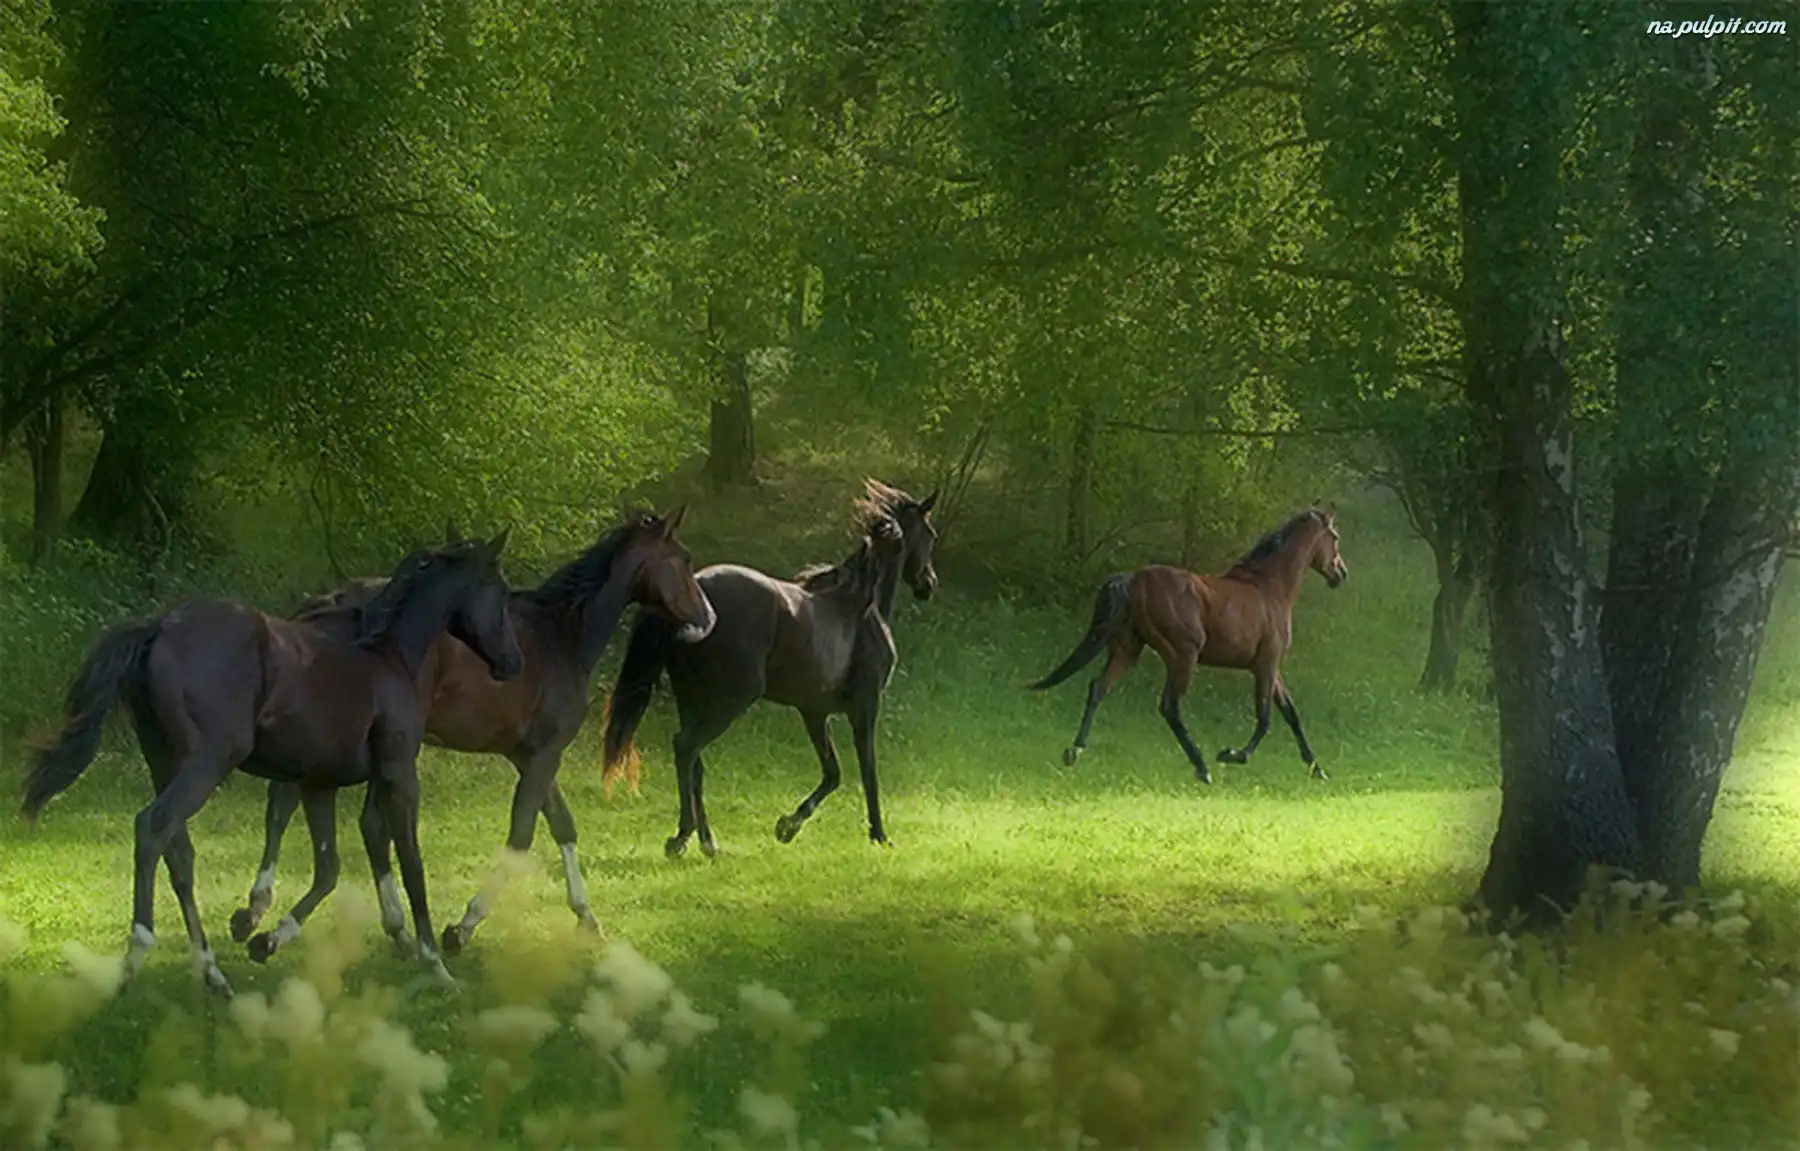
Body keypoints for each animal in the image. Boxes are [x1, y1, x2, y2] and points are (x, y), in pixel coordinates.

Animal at [20, 532, 525, 997]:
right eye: (499, 589)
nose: (513, 663)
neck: (390, 659)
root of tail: (161, 625)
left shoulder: (320, 784)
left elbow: (329, 866)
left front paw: (265, 938)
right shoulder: (399, 772)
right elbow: (411, 862)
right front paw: (435, 963)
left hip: (163, 762)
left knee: (178, 850)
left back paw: (214, 975)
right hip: (207, 762)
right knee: (152, 826)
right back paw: (135, 957)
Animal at [229, 509, 717, 961]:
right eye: (683, 559)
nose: (708, 618)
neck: (561, 635)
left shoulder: (528, 756)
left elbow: (562, 825)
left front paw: (586, 916)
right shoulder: (545, 755)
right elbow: (522, 835)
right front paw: (463, 926)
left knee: (293, 803)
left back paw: (262, 913)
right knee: (340, 816)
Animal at [602, 480, 938, 856]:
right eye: (931, 534)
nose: (928, 583)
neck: (859, 607)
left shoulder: (814, 712)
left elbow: (832, 772)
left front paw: (788, 826)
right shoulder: (864, 707)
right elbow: (868, 771)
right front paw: (879, 835)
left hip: (690, 695)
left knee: (694, 761)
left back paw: (707, 842)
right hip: (732, 698)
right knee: (686, 747)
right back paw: (683, 836)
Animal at [1029, 506, 1347, 782]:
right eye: (1335, 537)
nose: (1341, 573)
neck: (1269, 587)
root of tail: (1133, 579)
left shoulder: (1270, 667)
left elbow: (1290, 714)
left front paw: (1317, 769)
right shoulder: (1266, 665)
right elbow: (1265, 718)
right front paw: (1231, 754)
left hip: (1128, 650)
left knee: (1099, 688)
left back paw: (1074, 751)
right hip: (1183, 655)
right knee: (1169, 707)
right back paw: (1202, 767)